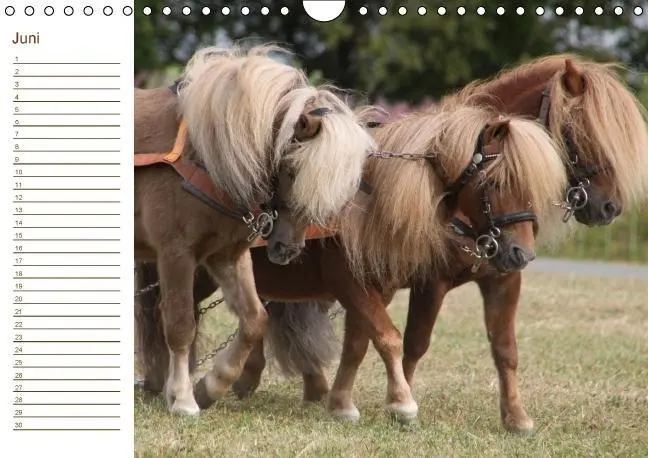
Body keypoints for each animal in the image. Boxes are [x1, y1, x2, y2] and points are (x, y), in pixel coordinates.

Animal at [133, 44, 376, 416]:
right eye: (292, 169)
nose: (287, 249)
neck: (203, 154)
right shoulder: (176, 254)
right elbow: (180, 324)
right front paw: (184, 400)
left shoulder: (226, 255)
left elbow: (254, 319)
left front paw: (211, 386)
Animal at [136, 101, 569, 423]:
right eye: (496, 182)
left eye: (532, 184)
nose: (521, 254)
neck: (370, 198)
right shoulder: (356, 283)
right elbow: (389, 338)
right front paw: (402, 404)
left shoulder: (379, 286)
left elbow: (361, 342)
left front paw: (343, 403)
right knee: (168, 315)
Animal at [224, 55, 648, 432]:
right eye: (581, 131)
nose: (609, 207)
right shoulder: (421, 281)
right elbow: (407, 342)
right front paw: (397, 402)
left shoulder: (500, 278)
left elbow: (503, 349)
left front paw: (516, 417)